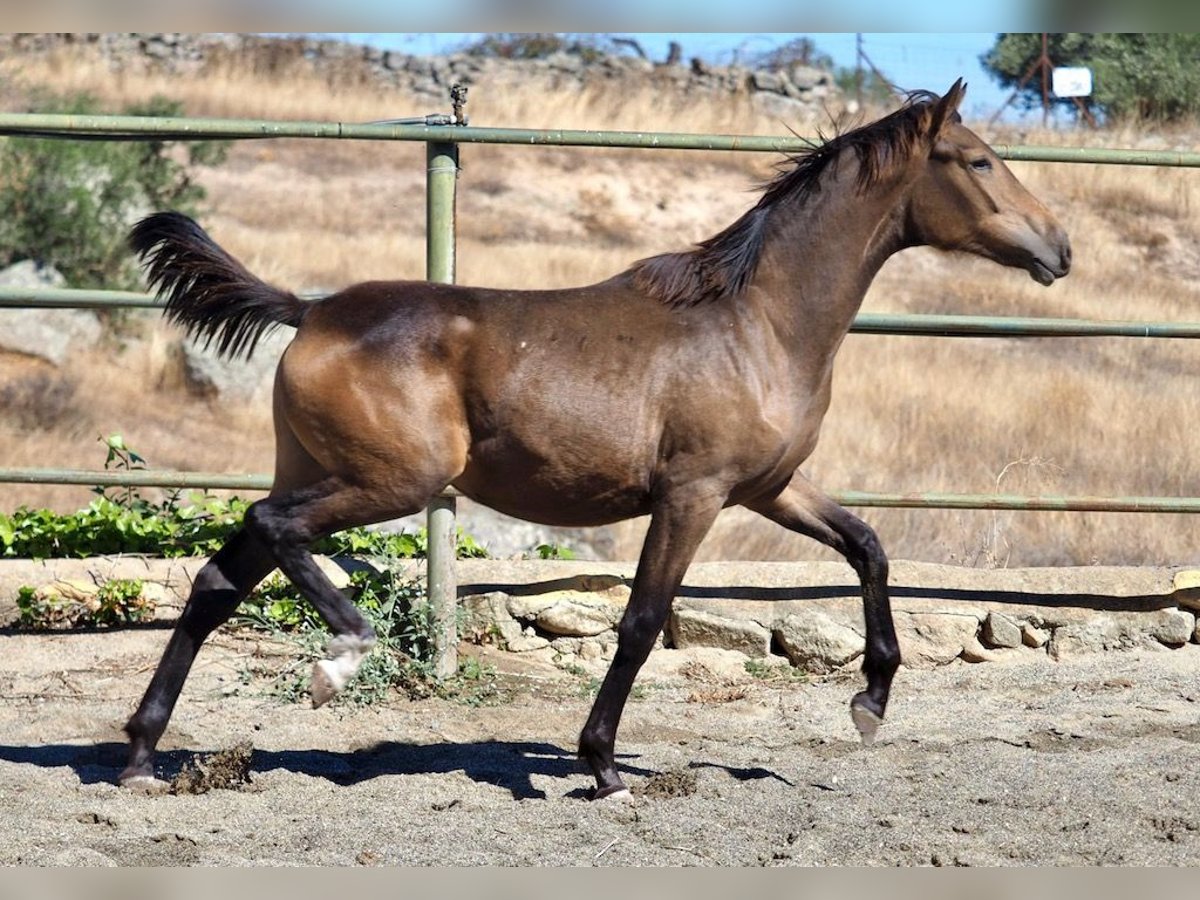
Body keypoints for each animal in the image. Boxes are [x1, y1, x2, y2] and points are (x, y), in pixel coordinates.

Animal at [114, 81, 1070, 801]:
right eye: (979, 160)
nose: (1059, 246)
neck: (757, 321)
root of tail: (309, 311)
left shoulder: (769, 487)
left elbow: (869, 546)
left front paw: (870, 700)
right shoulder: (693, 494)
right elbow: (643, 620)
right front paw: (602, 765)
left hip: (322, 469)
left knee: (219, 578)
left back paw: (141, 756)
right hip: (395, 480)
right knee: (269, 531)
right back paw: (339, 661)